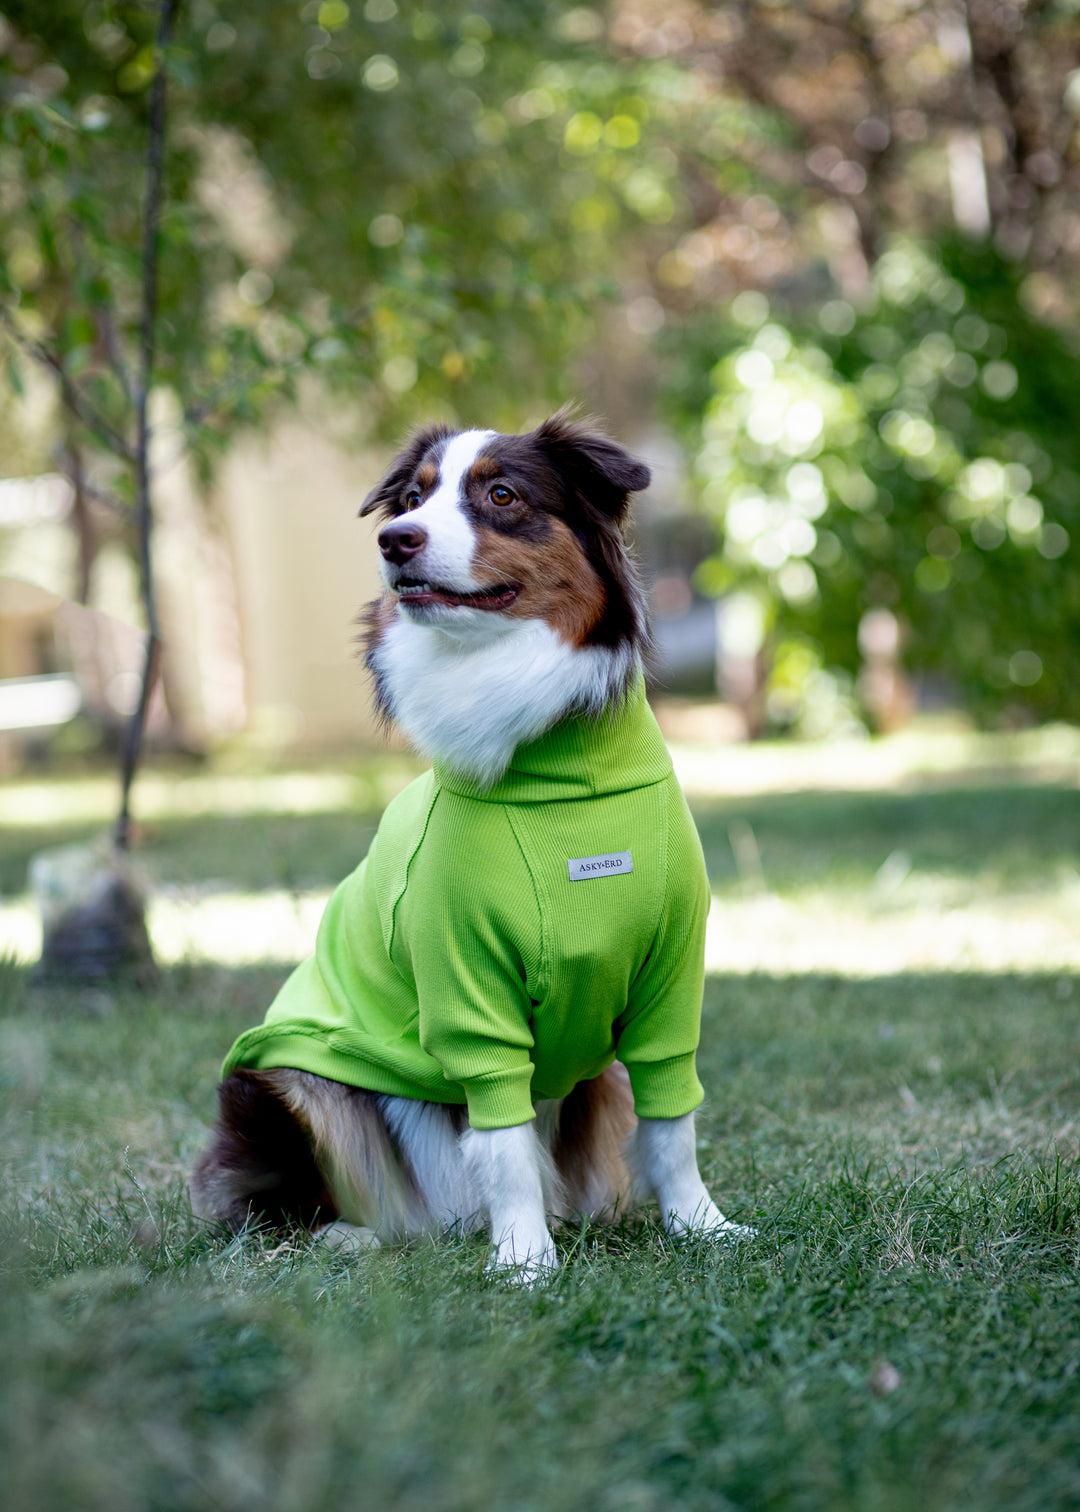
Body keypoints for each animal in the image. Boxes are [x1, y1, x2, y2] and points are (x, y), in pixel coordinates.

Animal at [191, 411, 750, 1276]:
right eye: (413, 498)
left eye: (502, 495)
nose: (395, 539)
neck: (559, 773)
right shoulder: (468, 984)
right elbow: (505, 1137)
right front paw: (524, 1258)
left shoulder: (669, 981)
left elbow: (672, 1121)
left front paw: (701, 1226)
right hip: (277, 1073)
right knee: (269, 1202)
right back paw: (356, 1237)